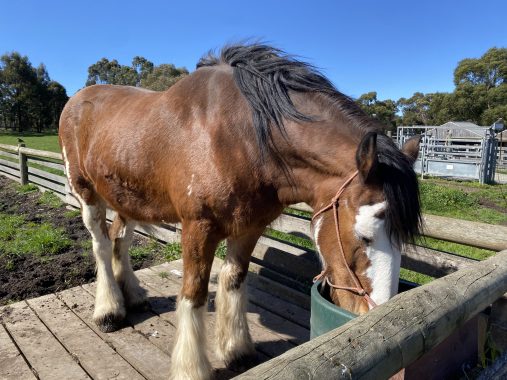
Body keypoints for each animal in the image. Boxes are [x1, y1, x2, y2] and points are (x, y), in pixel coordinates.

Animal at [58, 45, 420, 380]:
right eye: (364, 236)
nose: (377, 315)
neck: (239, 138)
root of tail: (77, 100)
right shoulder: (198, 228)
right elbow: (193, 294)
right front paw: (192, 369)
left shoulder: (249, 226)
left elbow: (233, 280)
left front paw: (236, 351)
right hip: (87, 193)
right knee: (101, 245)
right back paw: (109, 311)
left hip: (128, 198)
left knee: (120, 241)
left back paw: (132, 296)